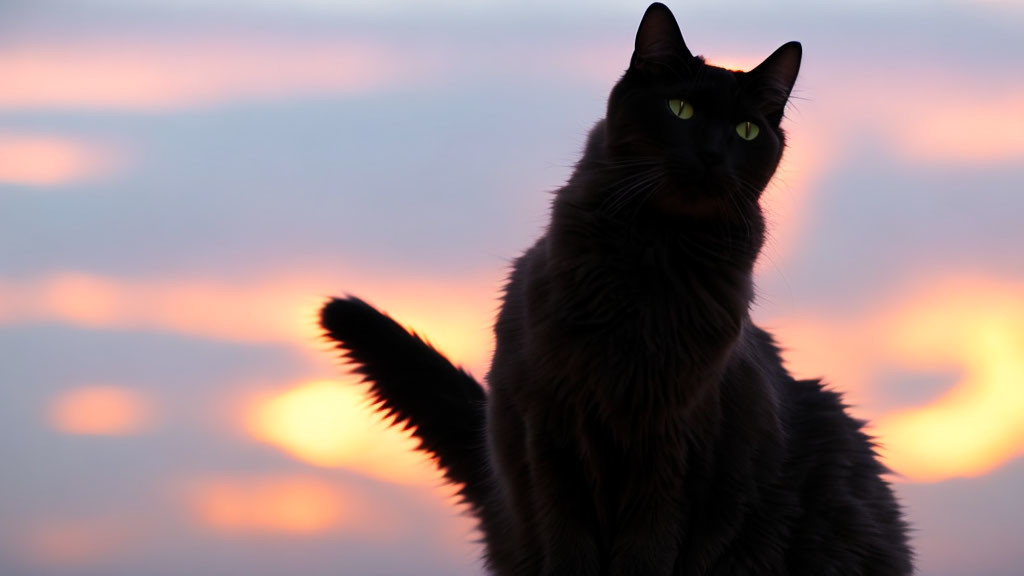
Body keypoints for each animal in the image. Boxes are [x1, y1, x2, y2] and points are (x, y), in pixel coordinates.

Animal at [319, 3, 913, 569]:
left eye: (745, 131)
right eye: (680, 110)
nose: (712, 154)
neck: (650, 267)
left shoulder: (674, 448)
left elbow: (647, 551)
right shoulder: (553, 432)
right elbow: (570, 545)